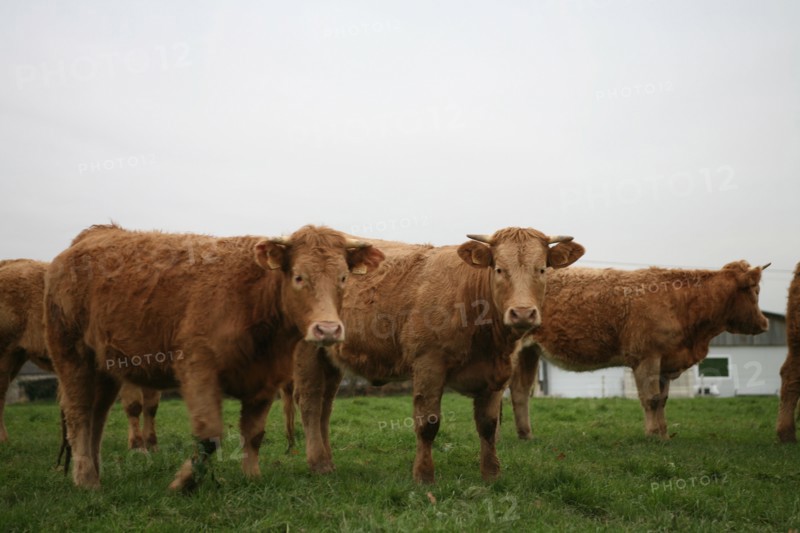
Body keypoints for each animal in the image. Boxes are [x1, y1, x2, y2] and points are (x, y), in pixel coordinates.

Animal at [44, 223, 384, 490]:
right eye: (299, 277)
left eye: (343, 278)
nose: (328, 329)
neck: (252, 297)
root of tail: (90, 236)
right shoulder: (197, 367)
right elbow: (209, 435)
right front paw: (184, 482)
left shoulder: (266, 379)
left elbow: (254, 434)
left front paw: (252, 478)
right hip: (72, 356)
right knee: (78, 414)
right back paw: (86, 479)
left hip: (105, 368)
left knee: (96, 416)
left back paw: (94, 471)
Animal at [294, 228, 584, 483]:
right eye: (499, 269)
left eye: (542, 269)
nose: (522, 313)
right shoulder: (428, 364)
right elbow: (428, 424)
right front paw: (424, 476)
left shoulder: (497, 374)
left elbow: (489, 426)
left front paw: (491, 475)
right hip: (307, 350)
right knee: (310, 403)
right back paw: (318, 464)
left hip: (330, 360)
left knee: (325, 407)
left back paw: (328, 461)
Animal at [507, 261, 770, 440]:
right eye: (755, 291)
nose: (765, 323)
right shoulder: (647, 357)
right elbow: (651, 399)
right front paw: (653, 434)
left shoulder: (665, 361)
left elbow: (662, 399)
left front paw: (663, 434)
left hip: (529, 353)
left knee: (520, 391)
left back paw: (526, 434)